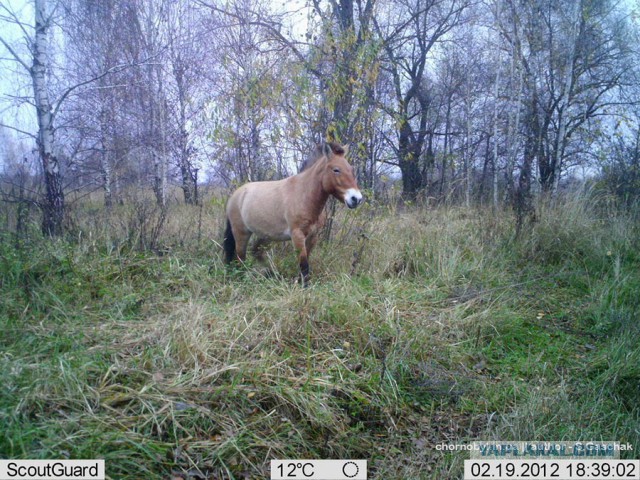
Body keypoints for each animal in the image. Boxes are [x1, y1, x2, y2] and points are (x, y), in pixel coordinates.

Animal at [222, 142, 362, 284]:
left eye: (352, 170)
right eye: (336, 170)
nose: (356, 199)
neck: (304, 195)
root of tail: (235, 195)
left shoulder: (312, 237)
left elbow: (306, 261)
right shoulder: (297, 236)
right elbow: (304, 265)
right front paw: (304, 285)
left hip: (265, 236)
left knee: (255, 252)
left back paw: (271, 273)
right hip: (241, 233)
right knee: (240, 257)